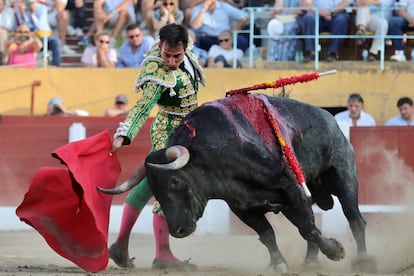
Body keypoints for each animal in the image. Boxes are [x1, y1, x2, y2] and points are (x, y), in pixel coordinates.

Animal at [99, 94, 376, 272]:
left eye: (175, 181)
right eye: (154, 190)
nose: (177, 230)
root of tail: (331, 119)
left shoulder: (290, 187)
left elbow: (308, 227)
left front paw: (337, 251)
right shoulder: (241, 206)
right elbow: (268, 234)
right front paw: (278, 264)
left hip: (343, 176)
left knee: (354, 219)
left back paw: (362, 261)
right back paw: (309, 263)